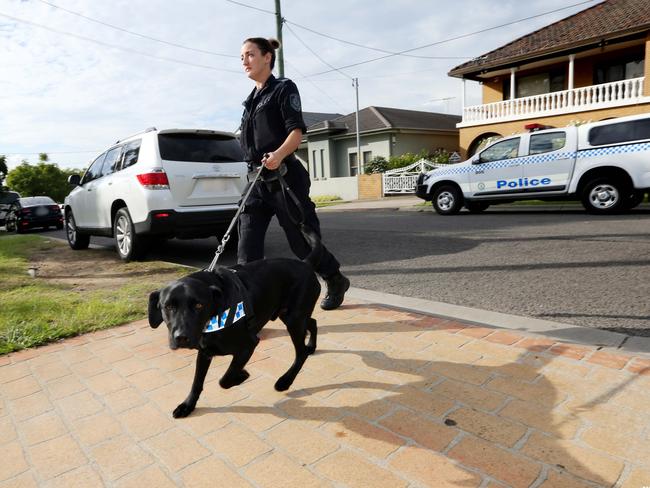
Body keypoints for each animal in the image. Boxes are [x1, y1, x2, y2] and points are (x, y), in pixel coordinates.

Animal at [146, 228, 320, 416]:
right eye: (168, 306)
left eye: (199, 305)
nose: (181, 338)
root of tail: (305, 264)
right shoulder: (205, 352)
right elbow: (197, 382)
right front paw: (187, 405)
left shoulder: (248, 345)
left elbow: (225, 379)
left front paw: (242, 375)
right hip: (289, 315)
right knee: (313, 322)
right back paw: (311, 346)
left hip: (294, 320)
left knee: (301, 353)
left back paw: (285, 380)